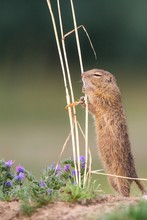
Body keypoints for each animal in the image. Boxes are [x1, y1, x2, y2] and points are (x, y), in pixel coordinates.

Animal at [80, 68, 146, 196]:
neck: (107, 87)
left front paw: (88, 89)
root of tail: (134, 173)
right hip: (111, 178)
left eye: (97, 74)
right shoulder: (97, 111)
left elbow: (99, 99)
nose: (82, 74)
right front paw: (82, 100)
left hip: (121, 175)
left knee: (126, 191)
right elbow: (93, 108)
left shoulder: (110, 97)